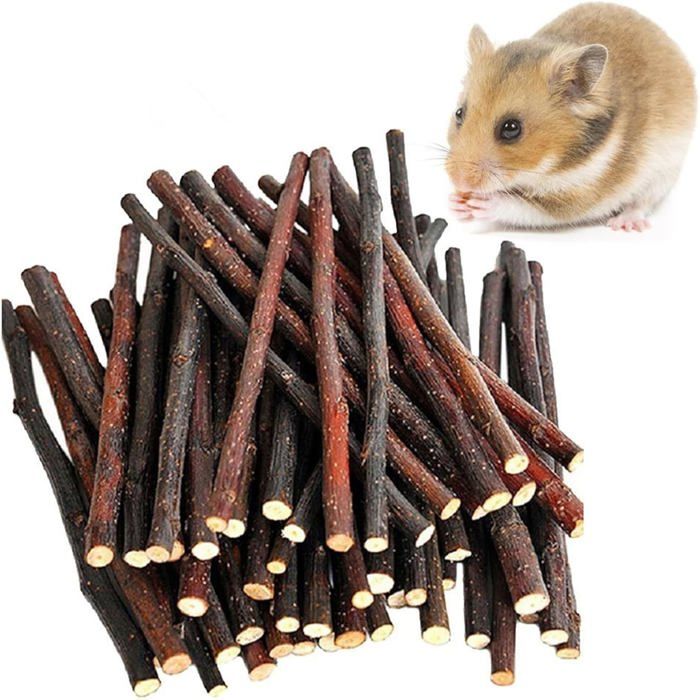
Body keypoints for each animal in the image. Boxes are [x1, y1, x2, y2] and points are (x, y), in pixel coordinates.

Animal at [446, 3, 696, 231]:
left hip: (665, 172)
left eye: (511, 128)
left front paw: (482, 202)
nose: (459, 180)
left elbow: (521, 206)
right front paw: (456, 202)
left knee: (643, 202)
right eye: (459, 113)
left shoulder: (574, 197)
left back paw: (624, 223)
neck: (554, 165)